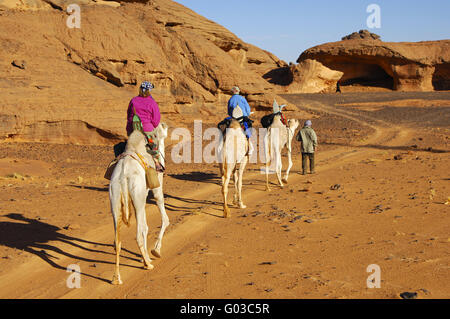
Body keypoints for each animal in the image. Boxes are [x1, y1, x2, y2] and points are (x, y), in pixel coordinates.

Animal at [109, 124, 169, 286]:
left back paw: (116, 279)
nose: (165, 125)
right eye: (160, 135)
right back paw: (148, 264)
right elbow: (164, 219)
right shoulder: (155, 189)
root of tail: (123, 176)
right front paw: (155, 251)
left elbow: (146, 227)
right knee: (138, 234)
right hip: (138, 198)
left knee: (118, 240)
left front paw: (148, 255)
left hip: (115, 198)